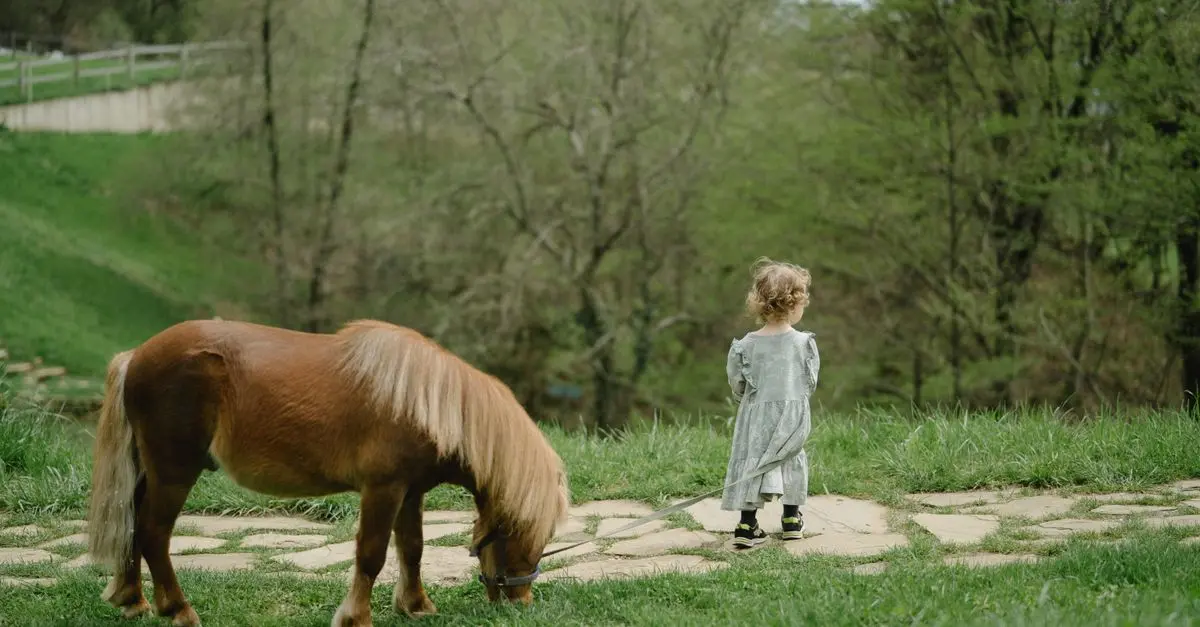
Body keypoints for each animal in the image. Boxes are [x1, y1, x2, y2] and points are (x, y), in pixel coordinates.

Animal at [86, 318, 570, 627]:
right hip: (174, 473)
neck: (425, 402)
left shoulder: (410, 493)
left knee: (132, 524)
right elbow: (372, 555)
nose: (521, 599)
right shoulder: (382, 490)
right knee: (153, 534)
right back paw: (179, 610)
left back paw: (132, 600)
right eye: (527, 532)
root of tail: (137, 356)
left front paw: (415, 605)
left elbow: (412, 549)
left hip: (150, 472)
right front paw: (356, 617)